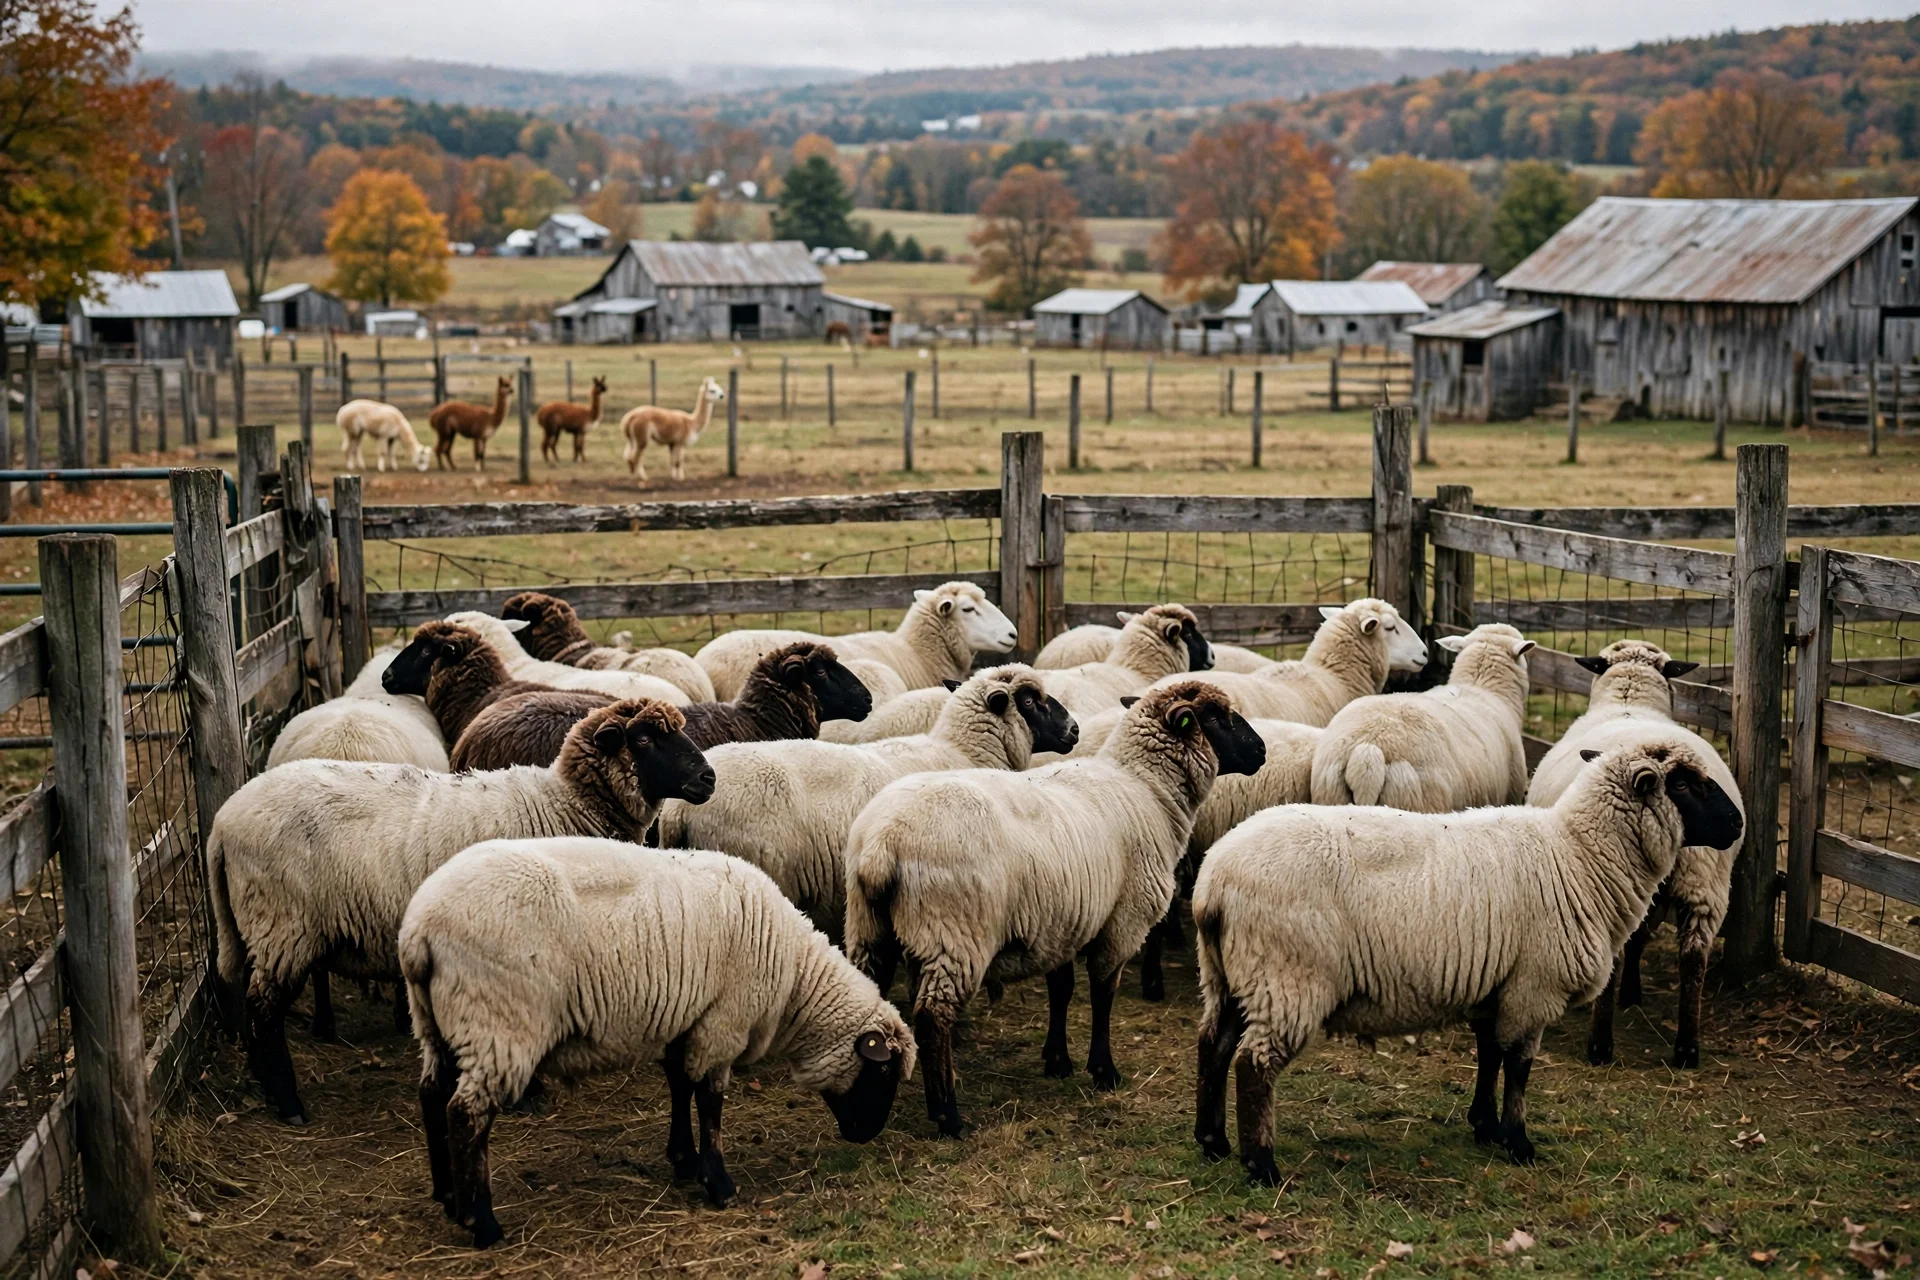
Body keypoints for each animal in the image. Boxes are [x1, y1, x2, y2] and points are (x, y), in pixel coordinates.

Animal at [207, 699, 715, 1125]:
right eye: (644, 740)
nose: (708, 778)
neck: (564, 805)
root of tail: (222, 824)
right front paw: (529, 1094)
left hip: (265, 926)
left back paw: (265, 1086)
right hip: (282, 924)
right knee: (264, 1010)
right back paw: (289, 1103)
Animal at [401, 837, 915, 1246]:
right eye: (883, 1069)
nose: (866, 1136)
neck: (795, 981)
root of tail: (418, 932)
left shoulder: (688, 1021)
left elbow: (680, 1087)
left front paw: (683, 1160)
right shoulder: (722, 1022)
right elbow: (710, 1101)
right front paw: (718, 1182)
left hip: (436, 1024)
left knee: (432, 1095)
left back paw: (447, 1195)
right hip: (498, 1021)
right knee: (467, 1115)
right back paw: (481, 1222)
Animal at [843, 682, 1267, 1137]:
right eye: (1217, 716)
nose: (1261, 749)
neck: (1146, 788)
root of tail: (882, 843)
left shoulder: (1062, 921)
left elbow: (1061, 989)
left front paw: (1058, 1060)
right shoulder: (1122, 920)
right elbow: (1102, 992)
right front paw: (1103, 1070)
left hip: (869, 927)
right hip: (953, 932)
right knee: (932, 1018)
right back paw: (948, 1116)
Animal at [1191, 738, 1743, 1182]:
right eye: (1684, 783)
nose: (1738, 822)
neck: (1579, 856)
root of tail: (1213, 882)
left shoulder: (1497, 984)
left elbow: (1490, 1053)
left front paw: (1484, 1125)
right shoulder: (1533, 987)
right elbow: (1518, 1065)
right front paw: (1518, 1142)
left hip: (1229, 975)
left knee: (1213, 1045)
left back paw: (1213, 1142)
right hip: (1286, 975)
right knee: (1254, 1064)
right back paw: (1260, 1164)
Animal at [1526, 640, 1740, 1070]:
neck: (1630, 700)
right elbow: (1642, 939)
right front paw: (1633, 994)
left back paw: (1600, 1045)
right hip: (1705, 887)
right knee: (1694, 960)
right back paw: (1687, 1049)